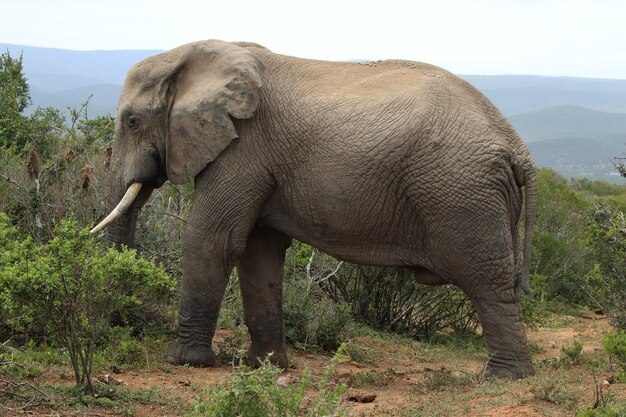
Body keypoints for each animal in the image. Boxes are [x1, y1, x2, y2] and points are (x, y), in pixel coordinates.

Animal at [92, 39, 536, 376]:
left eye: (131, 122)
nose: (119, 319)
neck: (193, 56)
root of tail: (518, 148)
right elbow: (258, 253)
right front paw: (265, 367)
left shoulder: (243, 148)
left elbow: (213, 240)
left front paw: (184, 362)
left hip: (463, 193)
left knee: (486, 278)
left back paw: (502, 378)